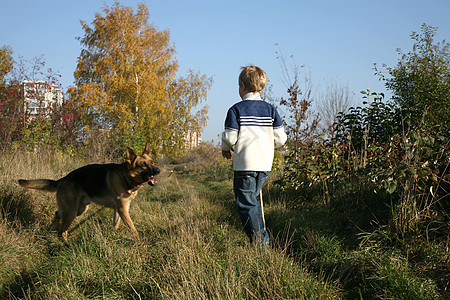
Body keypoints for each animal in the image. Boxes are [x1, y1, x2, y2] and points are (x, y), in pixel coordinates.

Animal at [18, 144, 161, 244]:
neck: (125, 176)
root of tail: (63, 179)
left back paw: (51, 230)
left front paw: (113, 237)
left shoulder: (119, 210)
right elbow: (133, 229)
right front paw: (140, 243)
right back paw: (66, 244)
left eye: (152, 162)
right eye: (143, 165)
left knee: (58, 214)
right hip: (72, 211)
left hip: (79, 209)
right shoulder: (123, 209)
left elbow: (115, 225)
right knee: (63, 231)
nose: (158, 170)